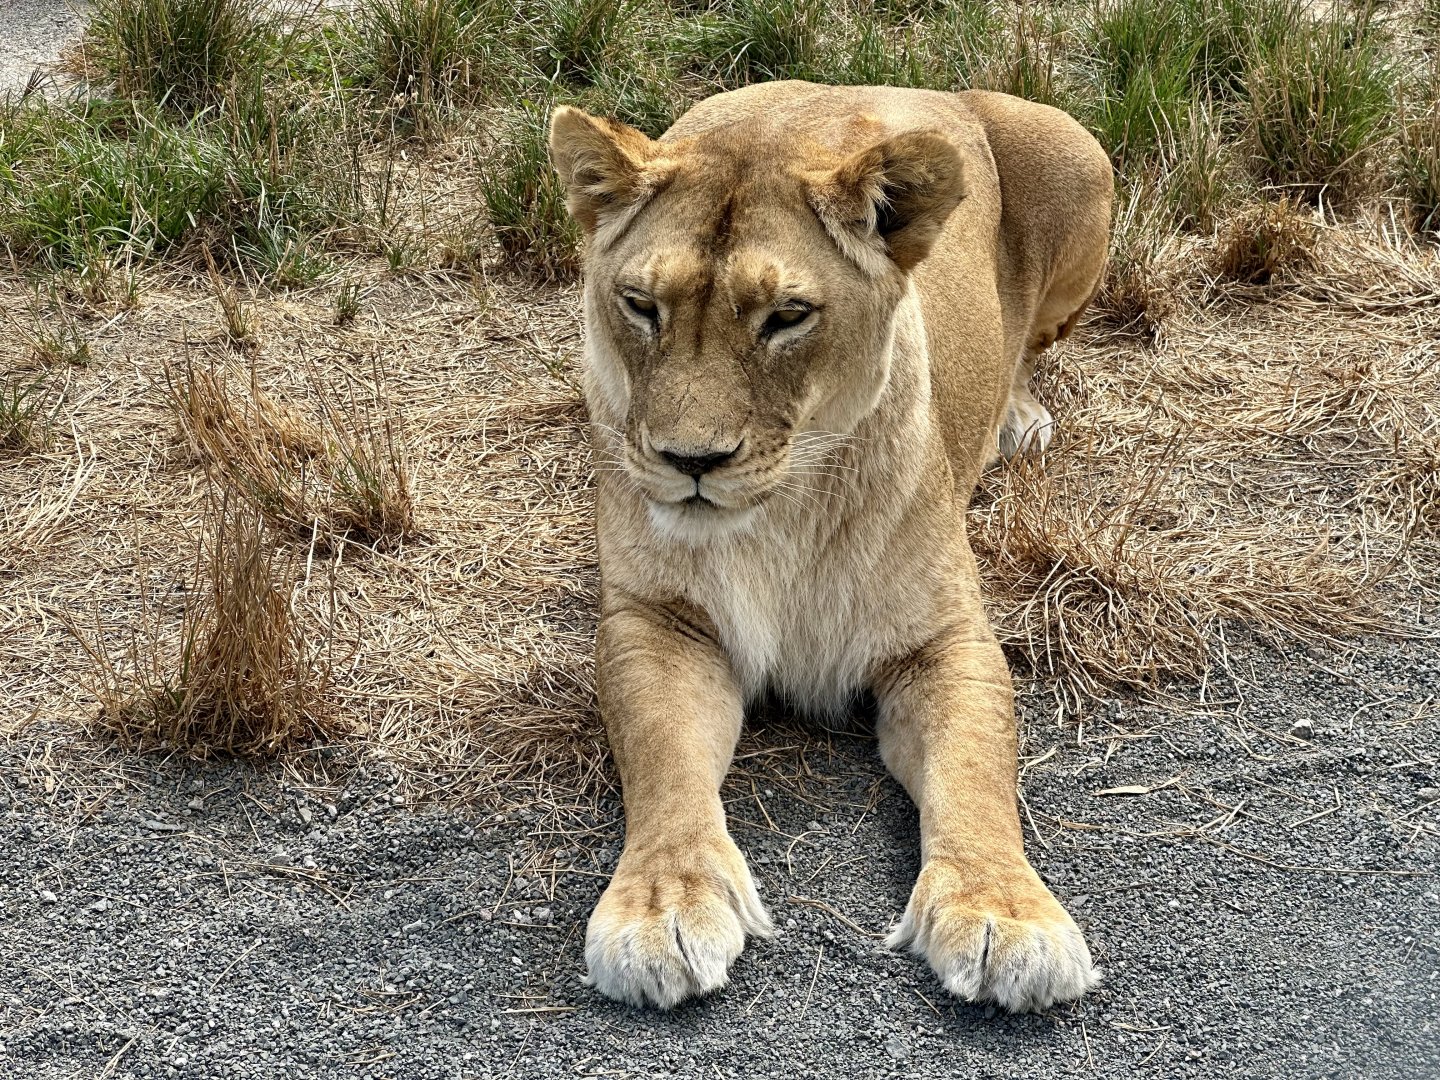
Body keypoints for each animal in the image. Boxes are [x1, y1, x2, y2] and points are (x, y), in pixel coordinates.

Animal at [548, 81, 1113, 1012]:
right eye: (640, 306)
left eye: (786, 317)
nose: (689, 461)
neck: (781, 517)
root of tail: (940, 89)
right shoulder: (659, 623)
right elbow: (663, 762)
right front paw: (663, 907)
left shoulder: (946, 640)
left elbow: (977, 774)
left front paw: (1005, 916)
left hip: (1076, 155)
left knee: (1031, 345)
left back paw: (1019, 417)